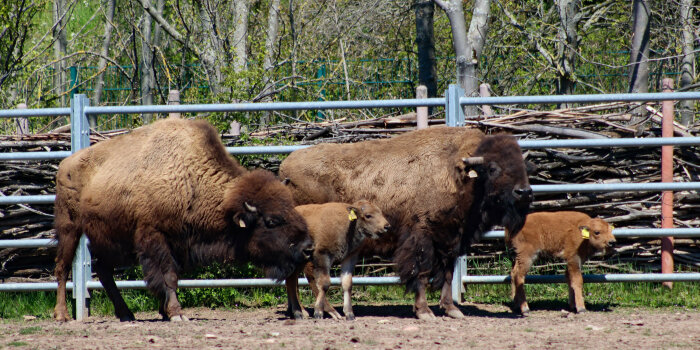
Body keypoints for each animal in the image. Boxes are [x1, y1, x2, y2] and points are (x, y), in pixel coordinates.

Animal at [56, 118, 314, 322]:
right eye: (271, 221)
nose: (308, 248)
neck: (191, 178)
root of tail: (65, 164)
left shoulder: (177, 243)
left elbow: (171, 277)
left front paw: (165, 312)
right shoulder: (156, 237)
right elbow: (168, 276)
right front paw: (176, 314)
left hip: (113, 240)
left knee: (103, 270)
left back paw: (126, 315)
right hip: (70, 228)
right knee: (63, 267)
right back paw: (63, 315)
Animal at [278, 126, 532, 320]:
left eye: (523, 165)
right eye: (493, 167)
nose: (525, 192)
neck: (457, 171)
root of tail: (283, 169)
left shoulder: (450, 239)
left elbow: (448, 274)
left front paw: (451, 310)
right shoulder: (422, 238)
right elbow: (421, 272)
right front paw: (424, 312)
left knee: (294, 274)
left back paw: (299, 312)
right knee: (310, 274)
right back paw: (326, 312)